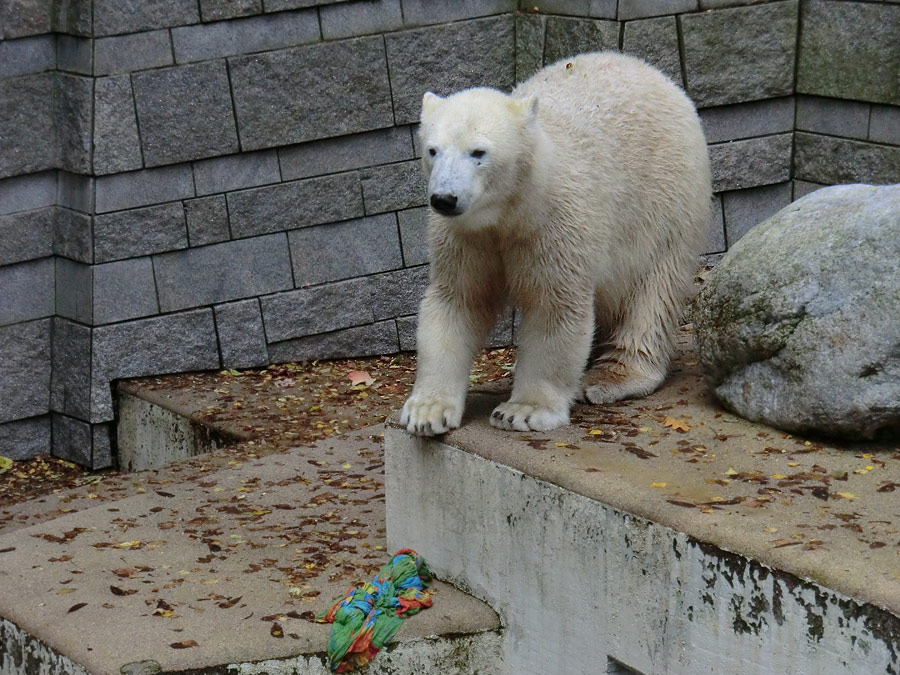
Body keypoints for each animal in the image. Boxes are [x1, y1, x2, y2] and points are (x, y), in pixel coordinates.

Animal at [400, 51, 712, 434]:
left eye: (478, 152)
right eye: (433, 150)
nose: (444, 198)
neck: (509, 212)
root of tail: (653, 73)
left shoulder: (555, 226)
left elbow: (554, 308)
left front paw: (523, 410)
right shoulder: (466, 237)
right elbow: (458, 300)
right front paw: (427, 411)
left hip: (666, 199)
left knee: (654, 289)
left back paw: (612, 375)